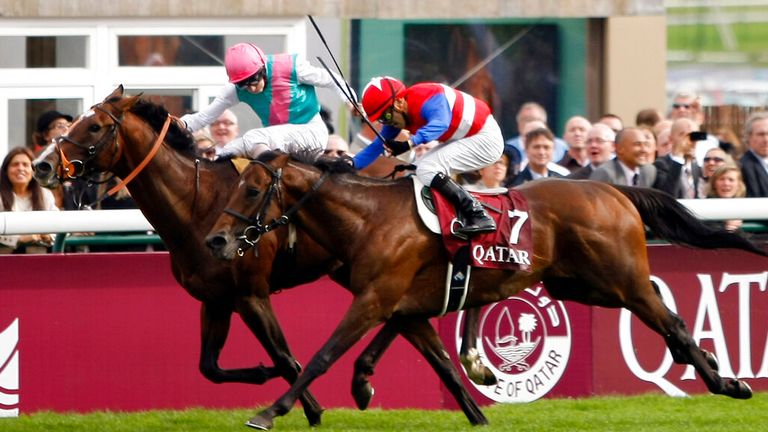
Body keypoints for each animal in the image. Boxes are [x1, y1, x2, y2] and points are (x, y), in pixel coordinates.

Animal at [31, 85, 486, 426]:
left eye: (95, 126)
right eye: (75, 120)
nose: (41, 166)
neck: (198, 204)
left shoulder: (251, 293)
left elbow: (285, 357)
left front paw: (309, 410)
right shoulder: (215, 299)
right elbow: (210, 368)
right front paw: (269, 378)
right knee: (407, 315)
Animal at [206, 152, 768, 428]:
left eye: (252, 190)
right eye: (232, 186)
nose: (216, 239)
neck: (369, 218)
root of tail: (612, 189)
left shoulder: (376, 298)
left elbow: (323, 356)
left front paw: (268, 412)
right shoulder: (403, 302)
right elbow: (438, 361)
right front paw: (473, 408)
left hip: (618, 281)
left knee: (668, 317)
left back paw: (727, 383)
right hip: (581, 285)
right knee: (666, 312)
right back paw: (717, 372)